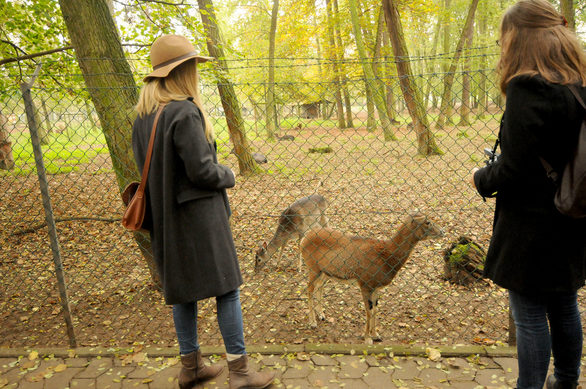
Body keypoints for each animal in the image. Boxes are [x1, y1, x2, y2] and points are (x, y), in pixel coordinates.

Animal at [302, 212, 442, 342]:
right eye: (427, 222)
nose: (442, 231)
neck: (386, 255)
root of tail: (305, 237)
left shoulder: (376, 288)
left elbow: (375, 310)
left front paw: (376, 335)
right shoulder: (365, 285)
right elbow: (368, 312)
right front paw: (367, 338)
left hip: (325, 272)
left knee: (319, 286)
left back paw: (322, 315)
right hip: (313, 269)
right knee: (309, 289)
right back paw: (313, 322)